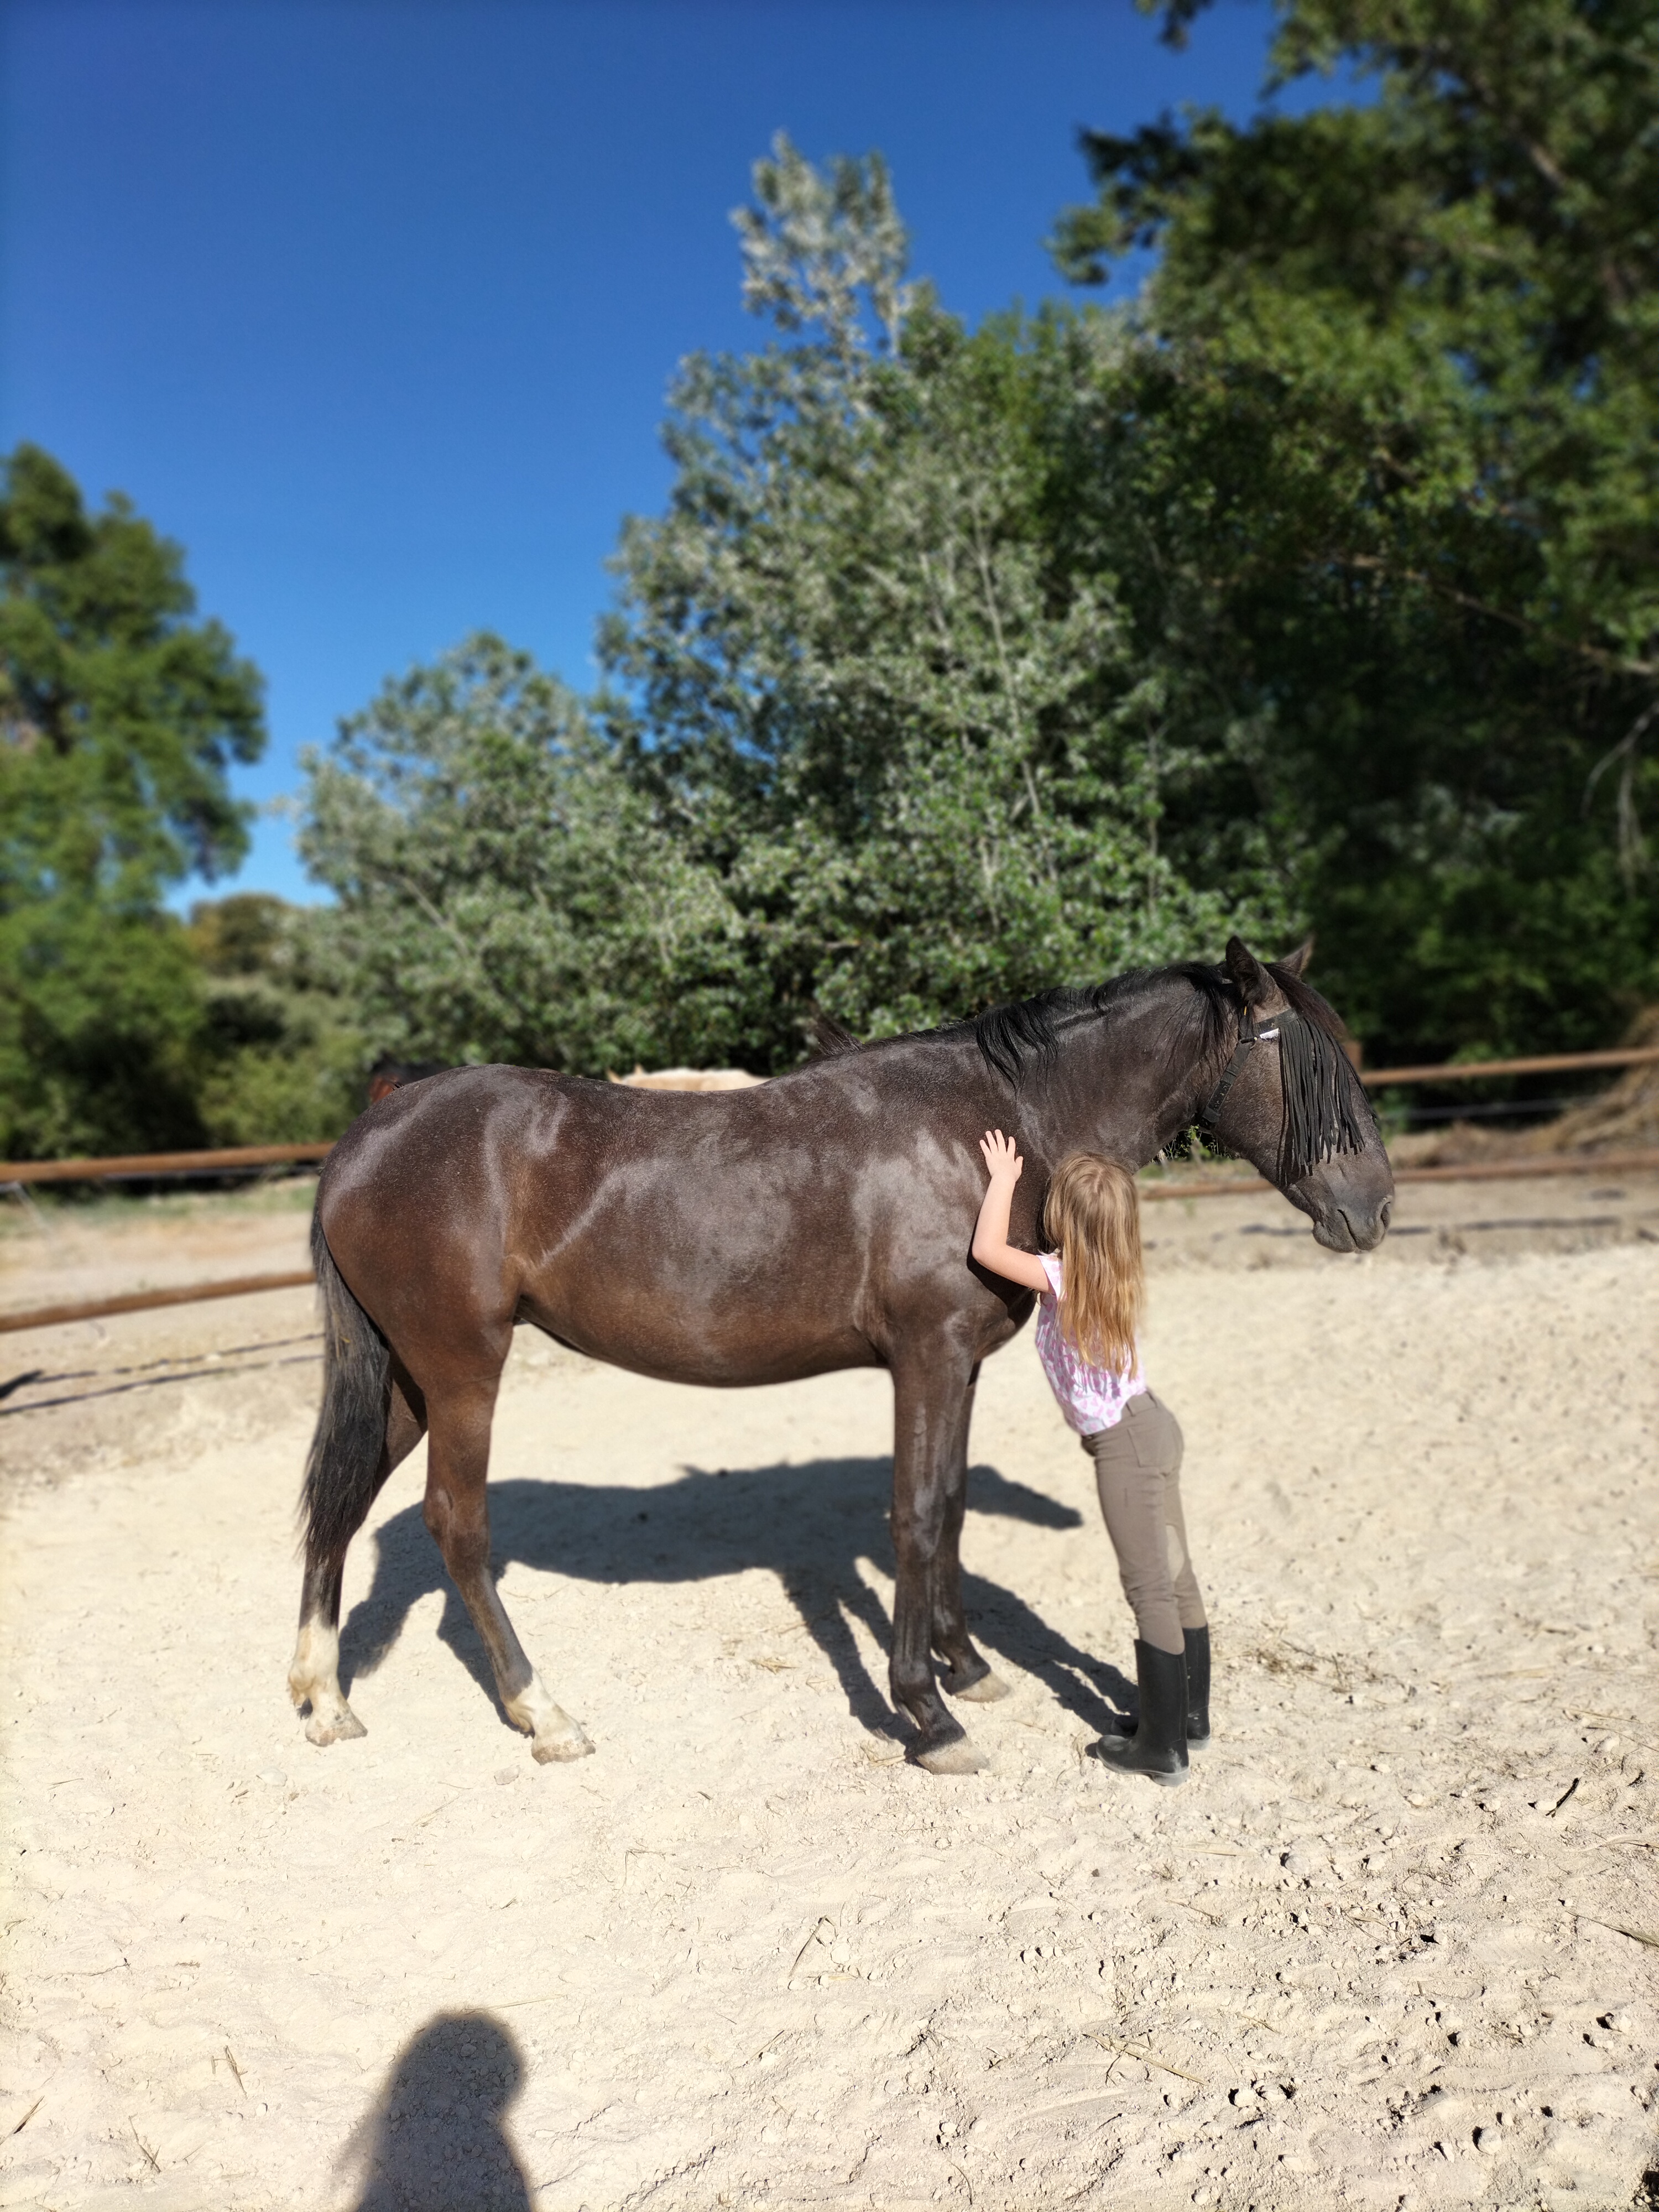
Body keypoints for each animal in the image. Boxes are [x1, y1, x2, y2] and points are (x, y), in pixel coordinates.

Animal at [288, 937, 1392, 1775]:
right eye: (1307, 1065)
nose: (1375, 1209)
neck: (991, 1127)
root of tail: (364, 1138)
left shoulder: (963, 1366)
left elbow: (949, 1510)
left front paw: (967, 1667)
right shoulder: (928, 1358)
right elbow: (915, 1517)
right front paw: (928, 1715)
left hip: (405, 1381)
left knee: (341, 1507)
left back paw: (324, 1699)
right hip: (462, 1373)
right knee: (457, 1528)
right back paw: (543, 1713)